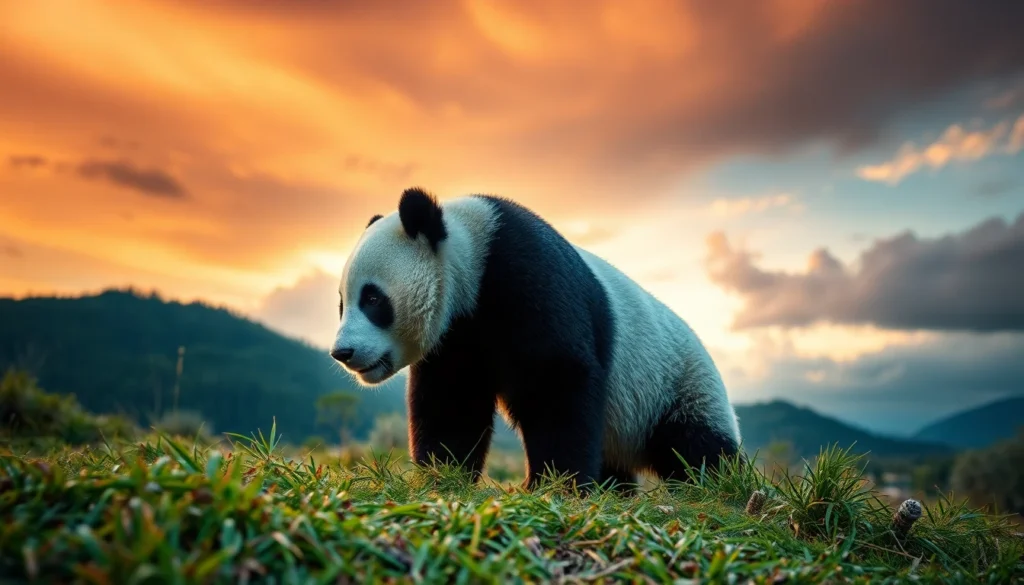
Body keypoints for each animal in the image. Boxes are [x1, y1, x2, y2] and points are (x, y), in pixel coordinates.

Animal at [330, 187, 742, 491]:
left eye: (372, 299)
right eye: (341, 304)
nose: (342, 352)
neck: (472, 258)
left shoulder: (528, 274)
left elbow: (557, 380)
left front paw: (554, 485)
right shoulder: (455, 336)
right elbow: (452, 402)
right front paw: (443, 475)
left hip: (673, 384)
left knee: (695, 446)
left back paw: (712, 487)